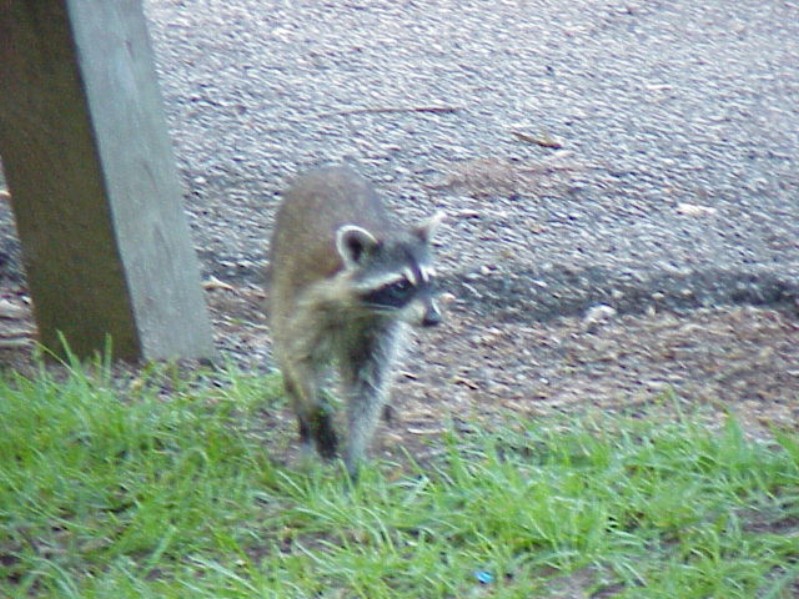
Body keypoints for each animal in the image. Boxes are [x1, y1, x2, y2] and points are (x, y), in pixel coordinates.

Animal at [268, 165, 444, 478]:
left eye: (430, 281)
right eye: (401, 285)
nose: (433, 318)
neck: (364, 308)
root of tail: (330, 168)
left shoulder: (380, 332)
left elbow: (367, 387)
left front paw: (355, 452)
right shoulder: (303, 312)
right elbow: (301, 363)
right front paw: (318, 413)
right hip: (278, 284)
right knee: (289, 370)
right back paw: (306, 430)